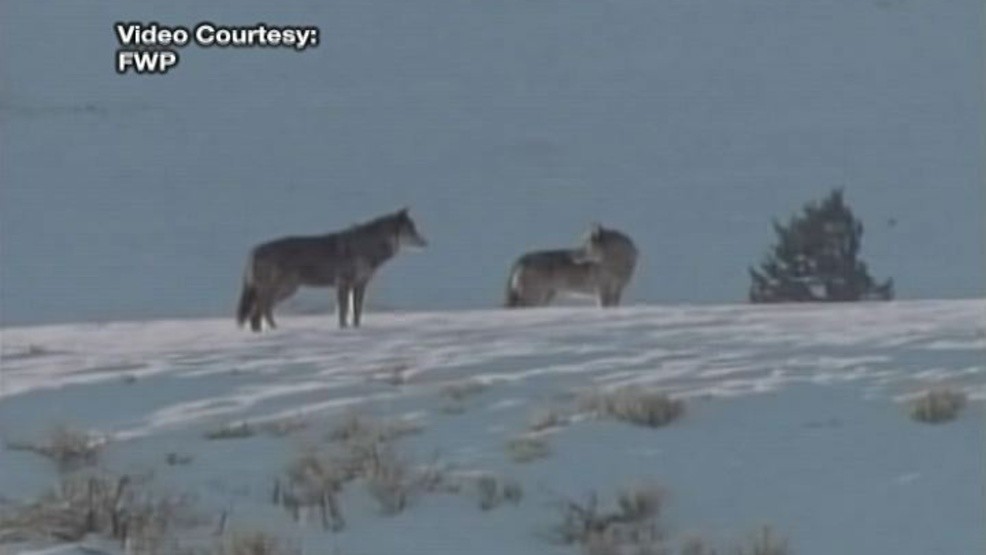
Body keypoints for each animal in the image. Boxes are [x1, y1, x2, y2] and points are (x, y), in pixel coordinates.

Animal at [238, 207, 426, 330]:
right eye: (412, 230)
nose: (426, 242)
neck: (366, 247)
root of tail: (253, 250)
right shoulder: (343, 283)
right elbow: (343, 311)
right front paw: (343, 329)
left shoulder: (359, 284)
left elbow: (356, 311)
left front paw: (356, 329)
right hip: (285, 289)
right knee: (260, 310)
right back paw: (273, 331)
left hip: (286, 290)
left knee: (259, 312)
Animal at [504, 225, 636, 308]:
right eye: (582, 243)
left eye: (585, 245)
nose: (572, 256)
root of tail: (522, 259)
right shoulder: (602, 290)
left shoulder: (617, 290)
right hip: (533, 297)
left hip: (545, 297)